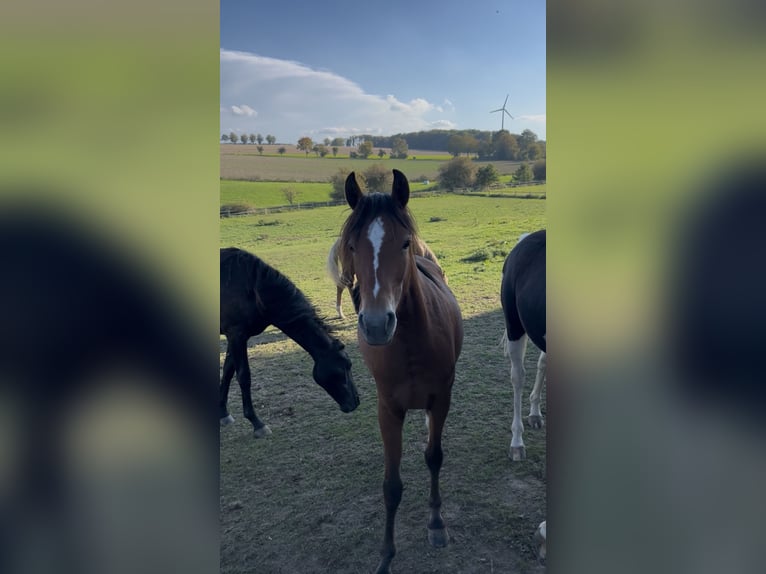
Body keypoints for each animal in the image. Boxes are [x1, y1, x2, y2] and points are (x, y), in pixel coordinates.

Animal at [220, 247, 360, 436]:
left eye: (349, 365)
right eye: (341, 369)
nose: (355, 402)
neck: (251, 287)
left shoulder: (237, 337)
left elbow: (227, 371)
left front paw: (223, 413)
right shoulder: (236, 334)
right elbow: (243, 376)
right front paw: (257, 423)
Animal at [338, 169, 463, 574]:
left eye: (404, 243)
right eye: (351, 245)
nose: (377, 325)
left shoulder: (441, 398)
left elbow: (434, 457)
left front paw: (437, 523)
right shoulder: (388, 410)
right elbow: (391, 486)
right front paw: (385, 556)